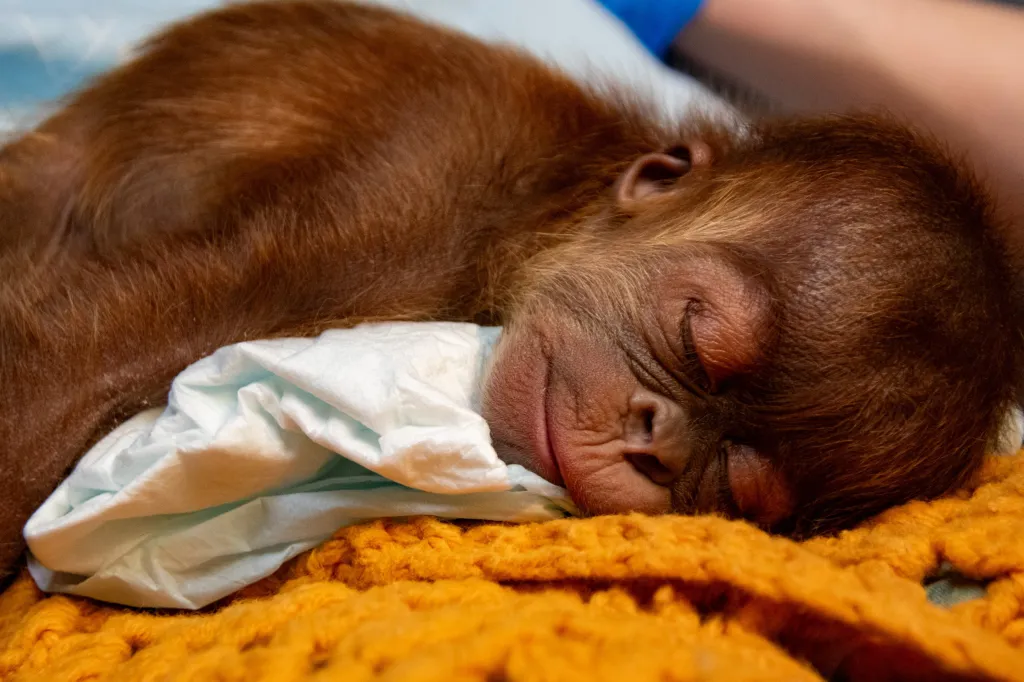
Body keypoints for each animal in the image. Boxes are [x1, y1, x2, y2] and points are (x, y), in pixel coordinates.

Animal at [0, 0, 1021, 582]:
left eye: (737, 485)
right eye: (694, 336)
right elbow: (119, 347)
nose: (657, 440)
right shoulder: (405, 194)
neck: (530, 204)